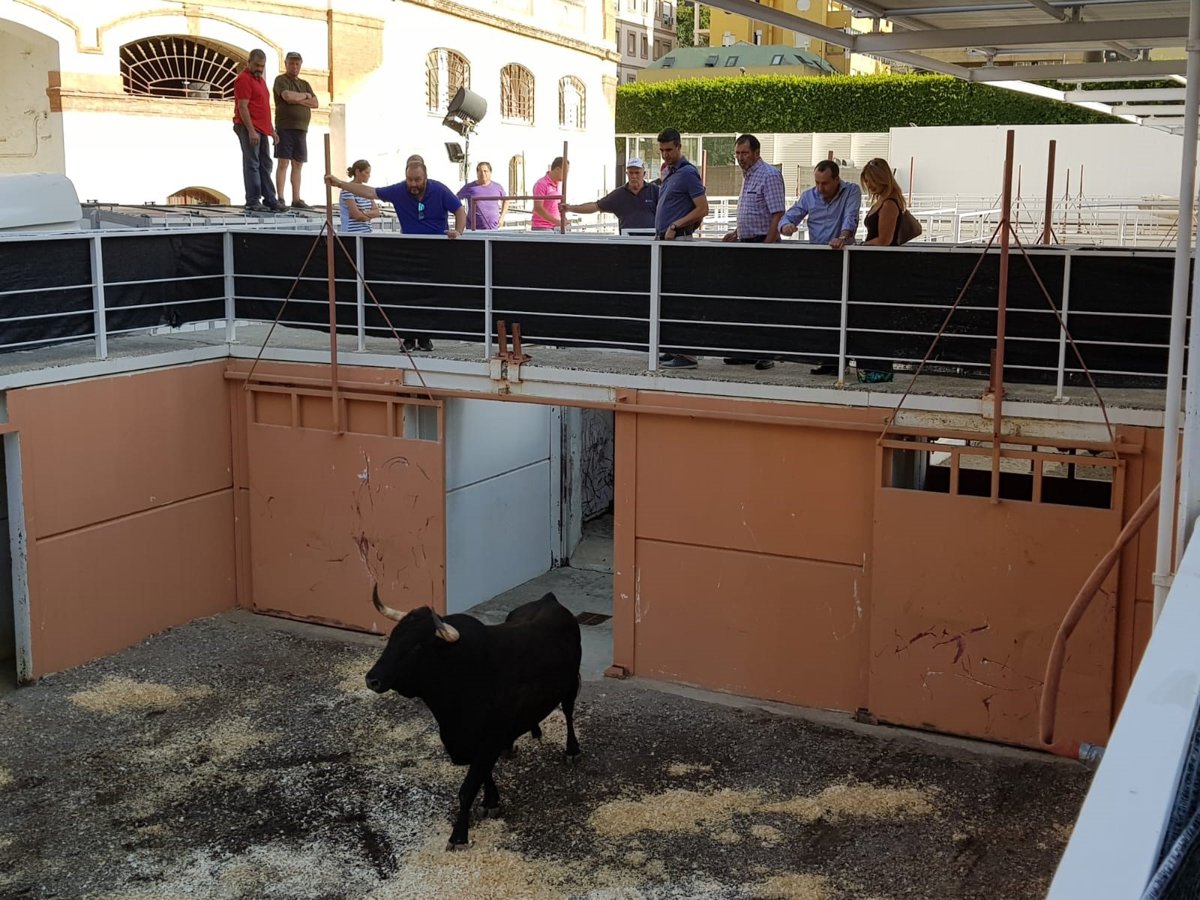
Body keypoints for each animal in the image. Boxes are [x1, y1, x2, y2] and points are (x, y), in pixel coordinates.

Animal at [365, 585, 582, 849]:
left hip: (571, 686)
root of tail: (548, 599)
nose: (372, 679)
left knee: (569, 713)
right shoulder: (473, 743)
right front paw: (491, 801)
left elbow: (467, 789)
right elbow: (483, 774)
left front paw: (459, 836)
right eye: (393, 638)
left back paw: (572, 750)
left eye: (417, 647)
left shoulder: (488, 740)